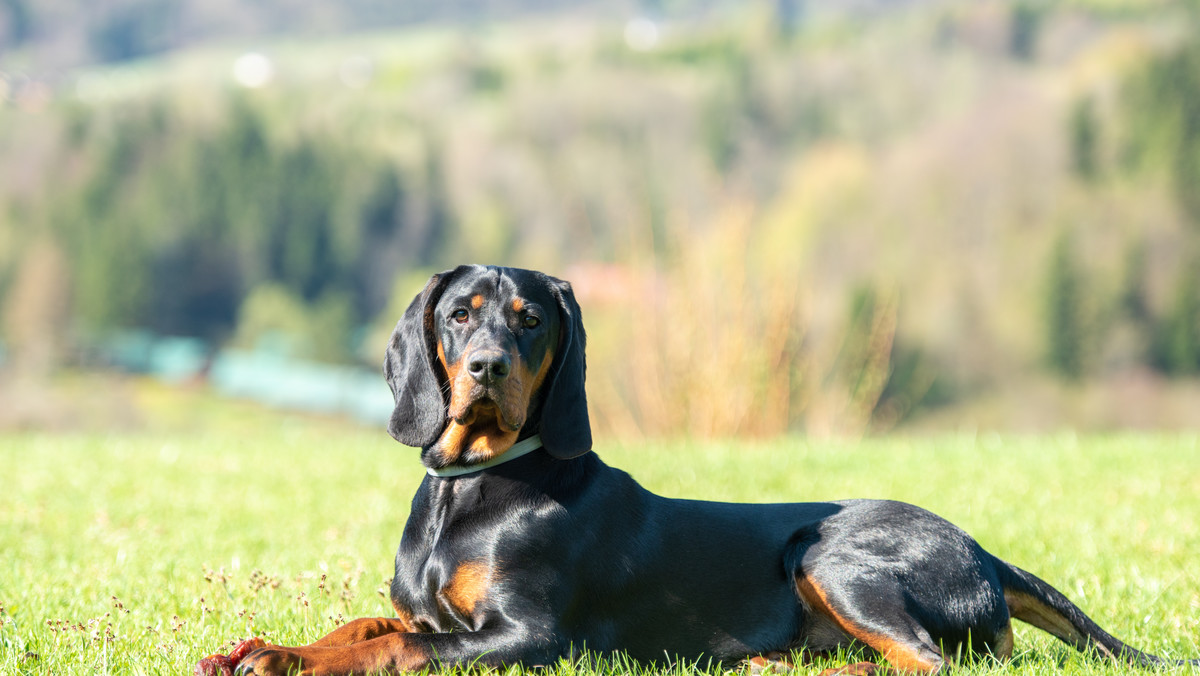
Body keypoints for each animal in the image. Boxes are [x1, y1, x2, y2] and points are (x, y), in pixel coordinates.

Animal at [204, 264, 1190, 676]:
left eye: (530, 319)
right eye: (459, 313)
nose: (484, 367)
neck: (472, 492)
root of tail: (983, 551)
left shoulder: (528, 638)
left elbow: (401, 648)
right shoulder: (426, 609)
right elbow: (363, 627)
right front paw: (268, 652)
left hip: (826, 551)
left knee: (929, 662)